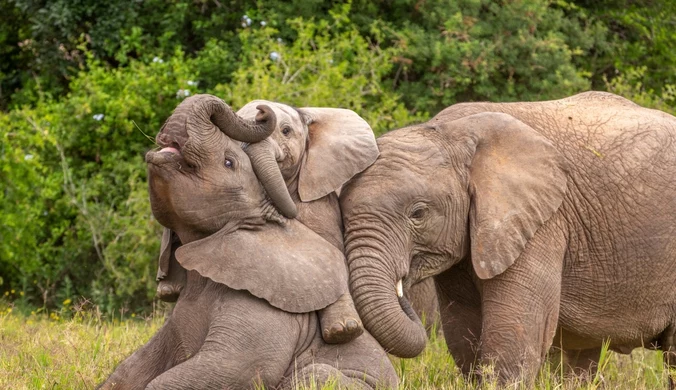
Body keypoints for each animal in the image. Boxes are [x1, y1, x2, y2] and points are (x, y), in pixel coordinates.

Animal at [97, 94, 398, 390]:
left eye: (229, 162)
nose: (263, 111)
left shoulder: (268, 307)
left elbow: (230, 368)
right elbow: (131, 369)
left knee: (314, 375)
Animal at [340, 90, 676, 384]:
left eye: (418, 213)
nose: (403, 288)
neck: (450, 133)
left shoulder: (542, 222)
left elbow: (514, 332)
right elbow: (463, 331)